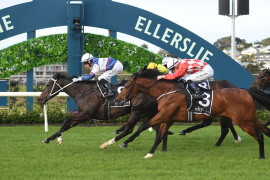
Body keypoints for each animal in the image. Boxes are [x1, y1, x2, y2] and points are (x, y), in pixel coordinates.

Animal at [115, 68, 270, 158]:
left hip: (243, 121)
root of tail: (245, 91)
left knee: (259, 135)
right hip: (249, 118)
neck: (166, 91)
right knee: (264, 131)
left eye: (127, 86)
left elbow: (143, 126)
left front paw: (123, 142)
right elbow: (159, 135)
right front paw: (150, 153)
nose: (118, 99)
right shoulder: (168, 118)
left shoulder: (163, 115)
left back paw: (261, 156)